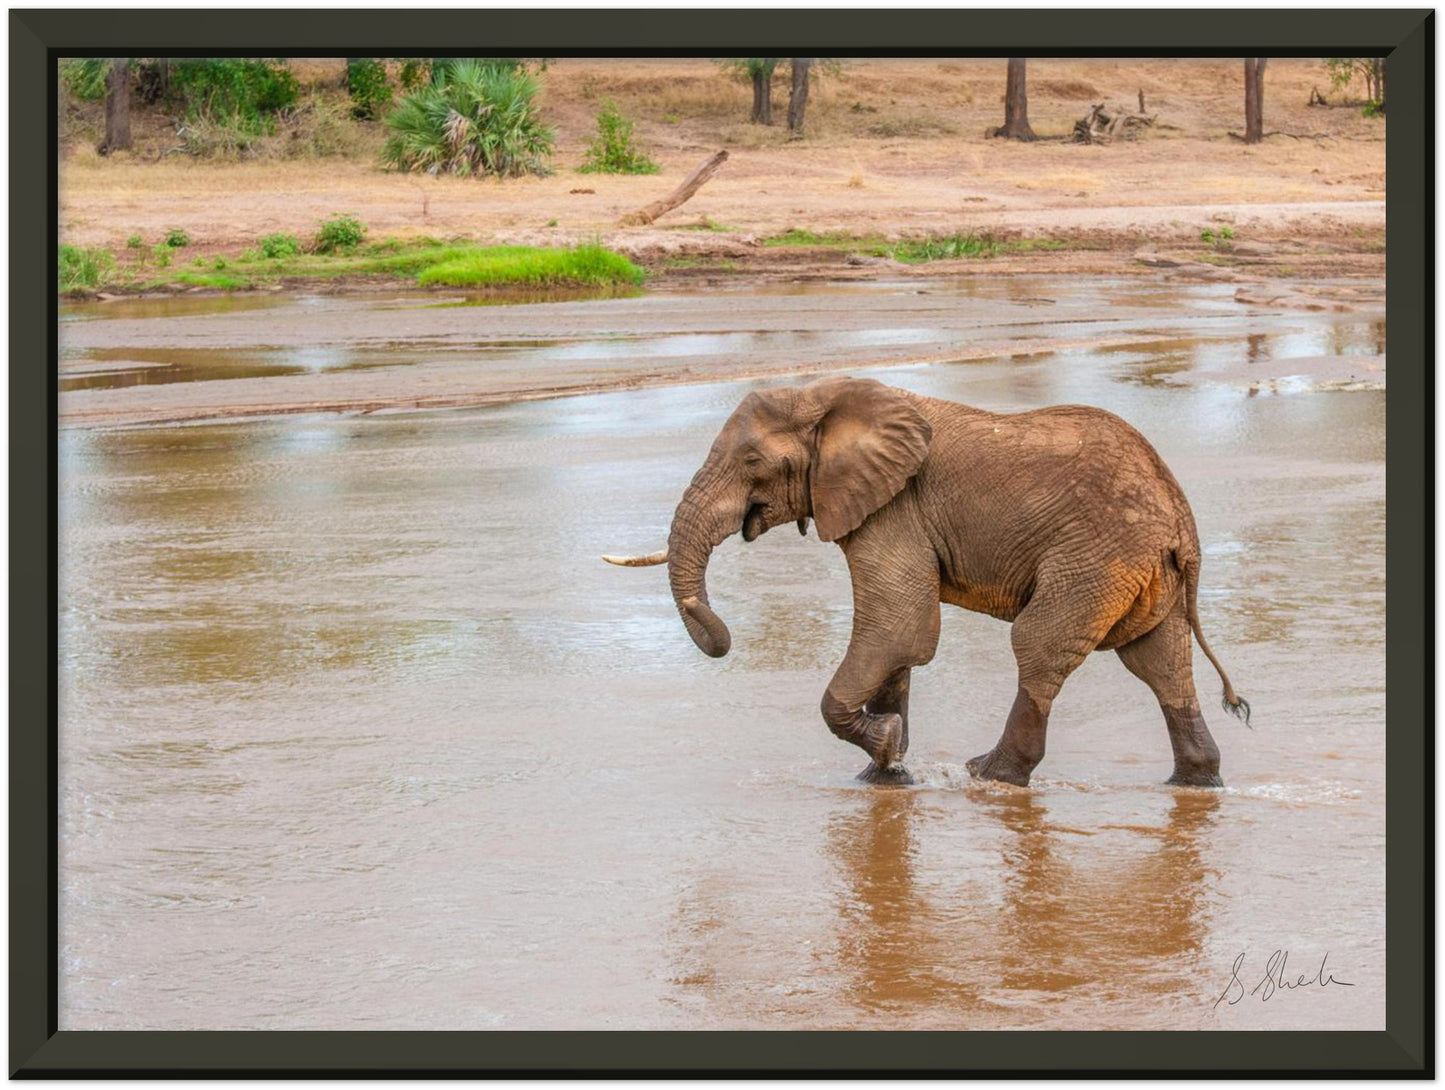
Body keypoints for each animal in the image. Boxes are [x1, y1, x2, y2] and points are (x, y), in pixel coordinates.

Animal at [604, 378, 1248, 786]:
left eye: (752, 463)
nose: (722, 639)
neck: (826, 395)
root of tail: (1181, 522)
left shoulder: (895, 509)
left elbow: (898, 628)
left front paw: (888, 748)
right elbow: (899, 646)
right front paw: (884, 775)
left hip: (1094, 558)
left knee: (1039, 646)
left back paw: (989, 774)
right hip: (1143, 573)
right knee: (1161, 662)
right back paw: (1196, 782)